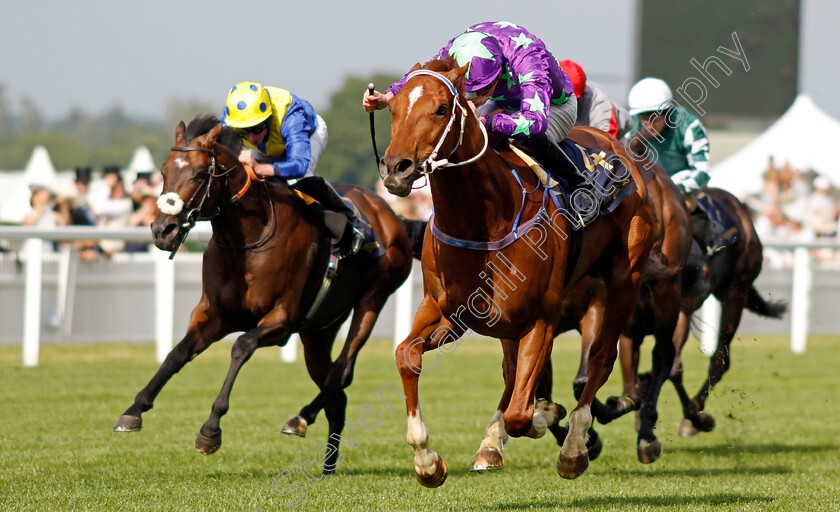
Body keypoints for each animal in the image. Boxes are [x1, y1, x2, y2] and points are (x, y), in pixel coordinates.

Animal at [113, 116, 416, 476]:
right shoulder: (213, 315)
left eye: (200, 174)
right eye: (163, 171)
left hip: (375, 296)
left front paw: (210, 430)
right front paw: (133, 410)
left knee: (343, 371)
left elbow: (241, 347)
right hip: (318, 331)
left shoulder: (281, 320)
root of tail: (392, 214)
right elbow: (176, 355)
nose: (163, 231)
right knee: (336, 392)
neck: (247, 238)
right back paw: (327, 465)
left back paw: (300, 419)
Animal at [378, 58, 660, 486]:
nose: (396, 168)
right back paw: (491, 446)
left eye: (441, 109)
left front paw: (547, 416)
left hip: (623, 278)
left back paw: (573, 446)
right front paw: (427, 460)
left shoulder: (541, 316)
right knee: (512, 372)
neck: (484, 221)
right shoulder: (446, 312)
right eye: (393, 108)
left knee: (599, 358)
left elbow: (520, 413)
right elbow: (406, 354)